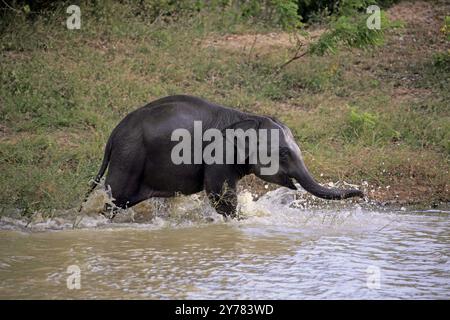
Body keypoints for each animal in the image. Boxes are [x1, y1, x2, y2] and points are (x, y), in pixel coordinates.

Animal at [81, 94, 362, 218]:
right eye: (283, 153)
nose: (362, 194)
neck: (247, 116)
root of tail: (113, 135)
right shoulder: (219, 154)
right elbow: (221, 196)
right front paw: (240, 220)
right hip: (129, 156)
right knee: (115, 198)